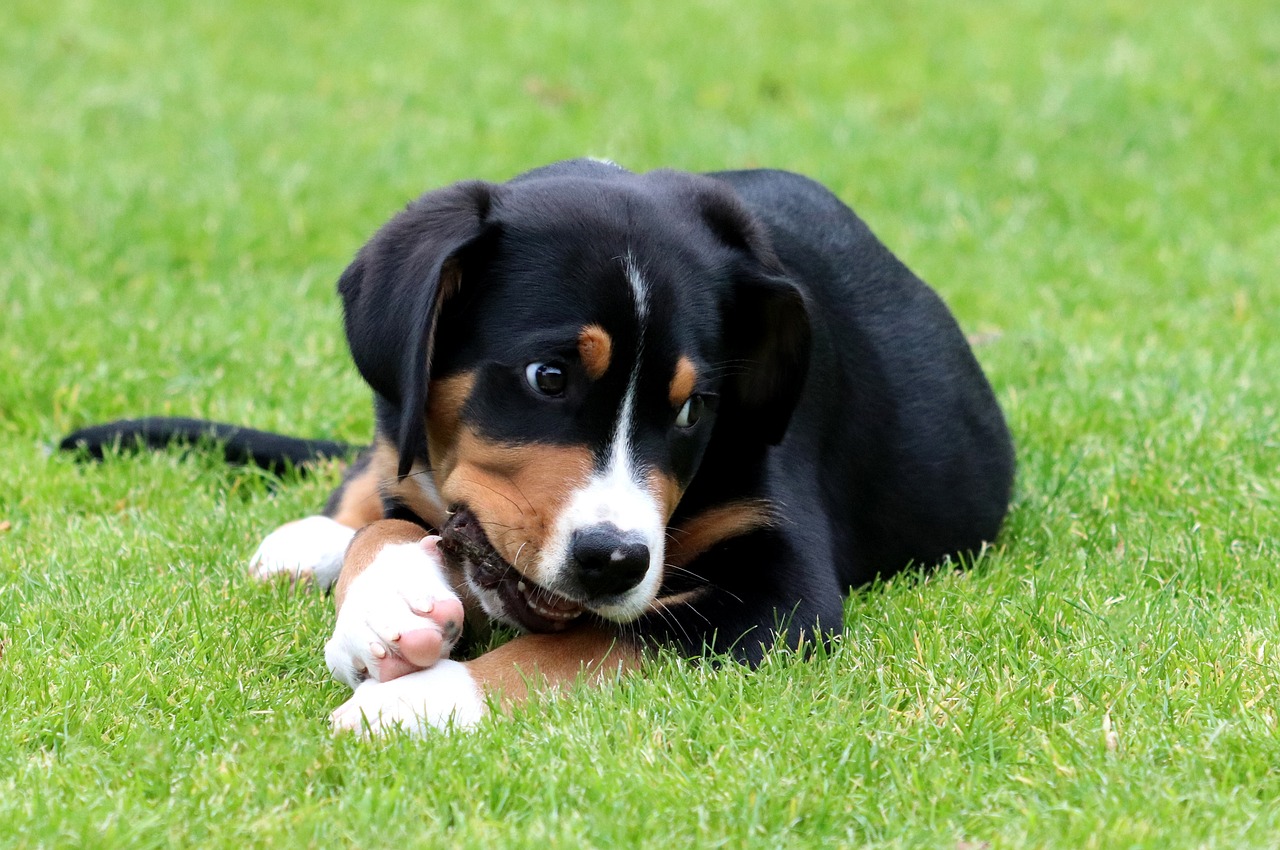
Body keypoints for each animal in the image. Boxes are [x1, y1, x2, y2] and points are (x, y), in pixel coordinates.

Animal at [70, 161, 1013, 737]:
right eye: (548, 377)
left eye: (694, 409)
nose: (616, 560)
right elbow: (392, 521)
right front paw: (387, 606)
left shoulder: (781, 595)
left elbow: (584, 644)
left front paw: (408, 704)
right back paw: (315, 541)